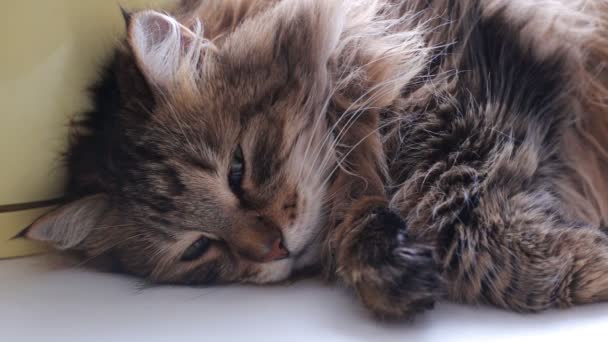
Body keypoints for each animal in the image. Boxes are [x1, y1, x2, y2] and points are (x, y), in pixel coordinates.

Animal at [17, 0, 608, 320]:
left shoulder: (471, 88)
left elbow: (462, 218)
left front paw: (589, 261)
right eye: (197, 249)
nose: (274, 248)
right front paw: (389, 274)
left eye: (238, 169)